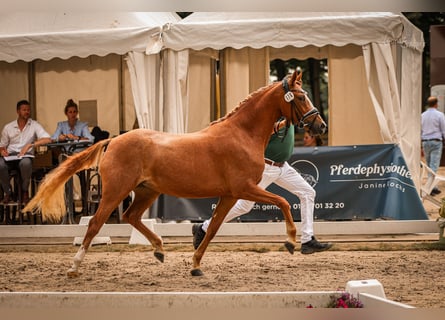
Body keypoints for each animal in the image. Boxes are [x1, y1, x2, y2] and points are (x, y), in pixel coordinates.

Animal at [24, 71, 326, 276]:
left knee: (131, 216)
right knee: (95, 224)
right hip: (114, 192)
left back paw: (159, 249)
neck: (242, 134)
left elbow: (212, 228)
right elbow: (284, 202)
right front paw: (290, 240)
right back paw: (74, 267)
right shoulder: (244, 188)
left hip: (146, 191)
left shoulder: (230, 195)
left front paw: (195, 265)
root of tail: (113, 141)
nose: (321, 125)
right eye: (301, 96)